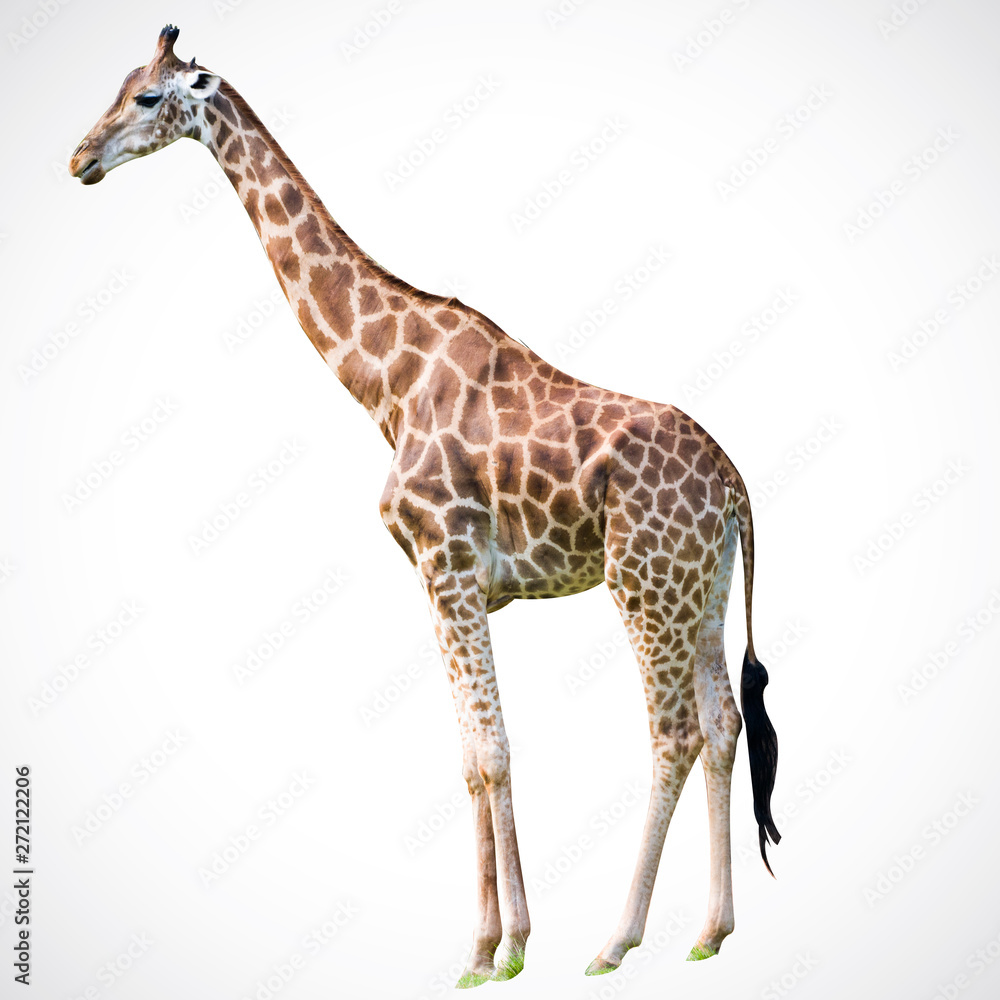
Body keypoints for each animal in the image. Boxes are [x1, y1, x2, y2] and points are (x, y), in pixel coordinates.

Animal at [69, 25, 781, 986]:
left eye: (148, 97)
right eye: (117, 85)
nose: (79, 159)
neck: (385, 382)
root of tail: (736, 482)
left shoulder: (449, 567)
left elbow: (494, 752)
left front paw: (506, 948)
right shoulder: (440, 585)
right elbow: (472, 760)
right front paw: (485, 947)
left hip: (643, 582)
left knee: (672, 732)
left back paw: (616, 940)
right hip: (699, 589)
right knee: (723, 722)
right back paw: (710, 931)